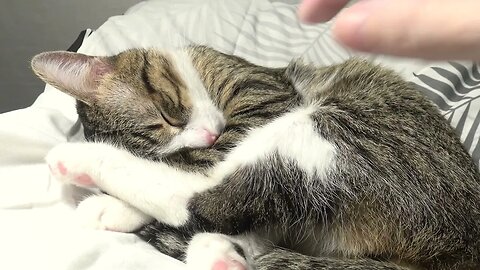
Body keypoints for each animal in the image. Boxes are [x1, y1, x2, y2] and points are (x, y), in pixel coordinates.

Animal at [31, 45, 480, 268]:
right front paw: (115, 208)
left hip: (334, 129)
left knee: (204, 194)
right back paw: (218, 254)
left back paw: (76, 158)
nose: (209, 138)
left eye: (167, 117)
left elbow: (196, 178)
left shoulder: (264, 99)